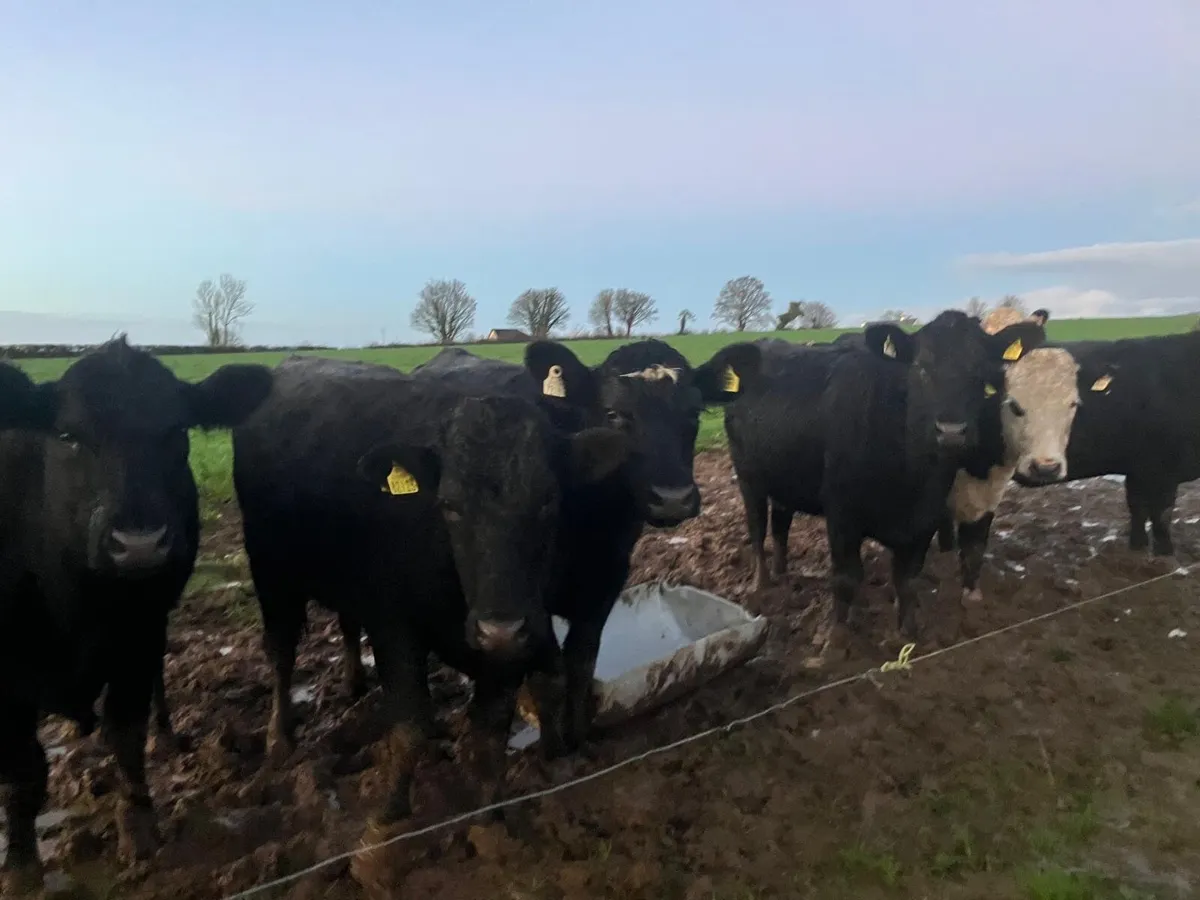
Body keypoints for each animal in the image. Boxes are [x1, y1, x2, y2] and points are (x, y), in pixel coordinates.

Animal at [0, 339, 272, 891]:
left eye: (175, 430)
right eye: (68, 435)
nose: (140, 543)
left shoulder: (138, 637)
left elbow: (125, 733)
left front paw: (139, 828)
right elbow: (23, 769)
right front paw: (20, 869)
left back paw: (165, 734)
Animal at [696, 311, 1047, 645]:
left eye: (981, 373)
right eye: (920, 369)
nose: (951, 432)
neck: (910, 476)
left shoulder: (924, 521)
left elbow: (907, 581)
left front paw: (908, 634)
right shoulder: (841, 514)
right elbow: (846, 578)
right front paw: (837, 638)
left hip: (784, 477)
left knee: (781, 526)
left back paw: (782, 573)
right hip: (748, 477)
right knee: (757, 529)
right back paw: (762, 583)